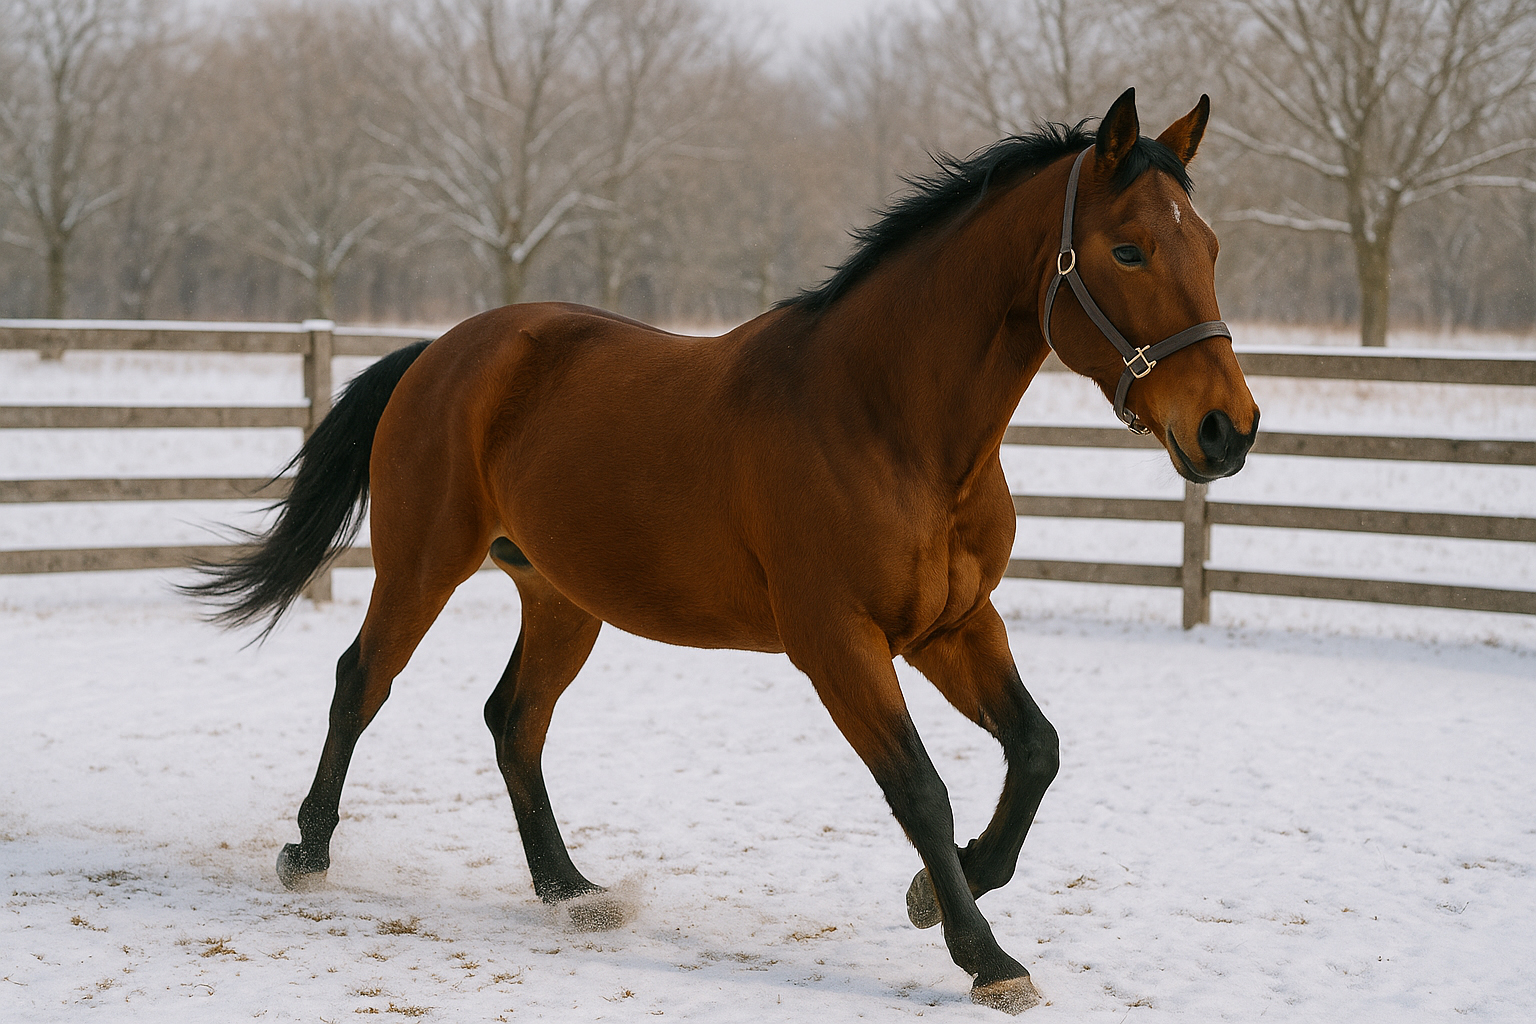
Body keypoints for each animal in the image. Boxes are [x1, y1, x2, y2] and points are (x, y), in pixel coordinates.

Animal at [188, 88, 1258, 1014]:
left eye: (1207, 245)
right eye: (1128, 250)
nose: (1227, 429)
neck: (889, 423)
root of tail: (445, 351)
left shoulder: (953, 625)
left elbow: (1036, 750)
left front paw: (945, 890)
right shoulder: (838, 643)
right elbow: (921, 788)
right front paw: (985, 955)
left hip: (565, 598)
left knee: (513, 720)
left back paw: (570, 890)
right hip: (423, 564)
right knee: (361, 681)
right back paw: (308, 857)